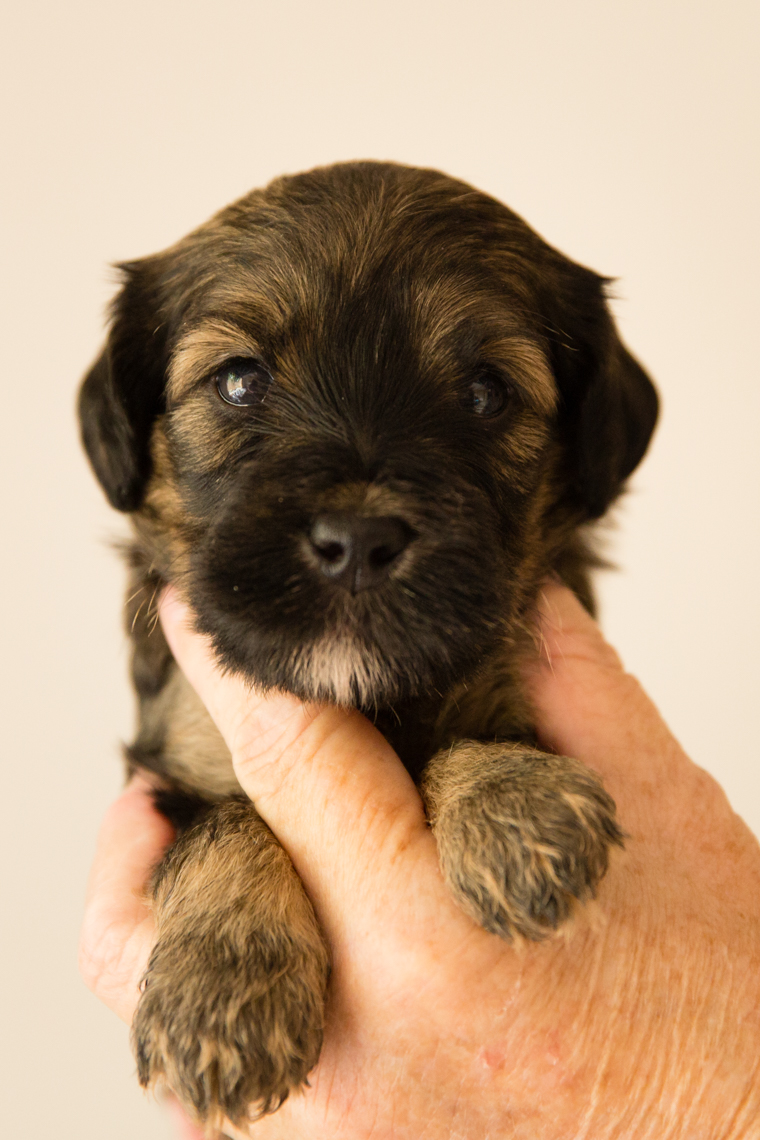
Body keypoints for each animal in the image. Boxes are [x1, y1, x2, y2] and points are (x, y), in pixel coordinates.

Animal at [78, 160, 660, 1130]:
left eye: (484, 394)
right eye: (239, 383)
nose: (356, 540)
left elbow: (475, 732)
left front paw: (515, 808)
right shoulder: (181, 758)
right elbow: (226, 826)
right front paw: (221, 994)